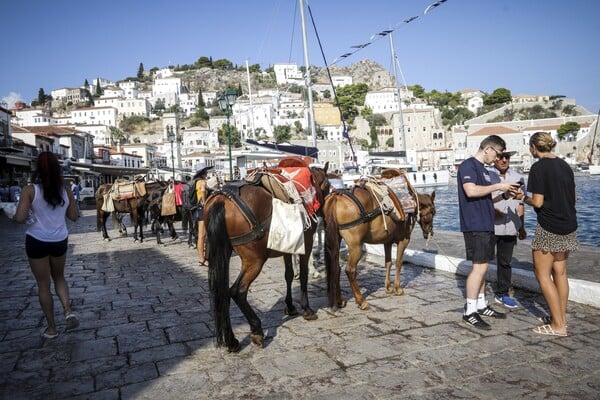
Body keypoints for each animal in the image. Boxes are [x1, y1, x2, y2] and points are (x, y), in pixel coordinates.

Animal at [205, 158, 328, 352]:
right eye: (328, 185)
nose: (323, 215)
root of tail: (221, 200)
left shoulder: (288, 246)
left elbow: (288, 274)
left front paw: (290, 306)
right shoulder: (306, 244)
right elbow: (303, 275)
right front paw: (306, 309)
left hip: (223, 253)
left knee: (222, 292)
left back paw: (232, 340)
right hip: (254, 260)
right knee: (237, 291)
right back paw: (256, 329)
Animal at [324, 170, 436, 310]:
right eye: (434, 211)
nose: (430, 232)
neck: (412, 201)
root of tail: (336, 197)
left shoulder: (387, 241)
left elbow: (388, 263)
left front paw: (388, 287)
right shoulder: (404, 240)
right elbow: (398, 262)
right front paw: (397, 288)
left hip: (335, 240)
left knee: (336, 268)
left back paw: (340, 301)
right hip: (355, 246)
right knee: (350, 270)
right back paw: (361, 301)